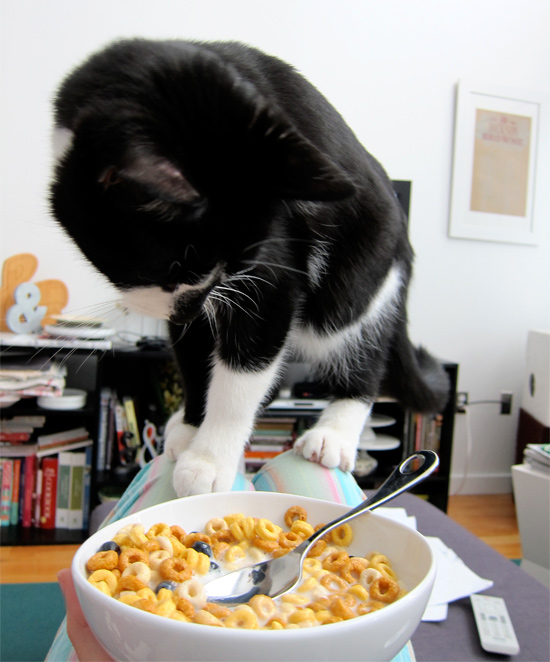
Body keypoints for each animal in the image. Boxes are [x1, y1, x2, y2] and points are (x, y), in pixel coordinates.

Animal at [49, 40, 450, 498]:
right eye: (174, 268)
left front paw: (209, 460)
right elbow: (194, 359)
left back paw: (333, 434)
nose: (188, 310)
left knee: (356, 346)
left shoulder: (275, 269)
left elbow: (243, 371)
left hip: (355, 279)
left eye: (238, 263)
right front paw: (193, 425)